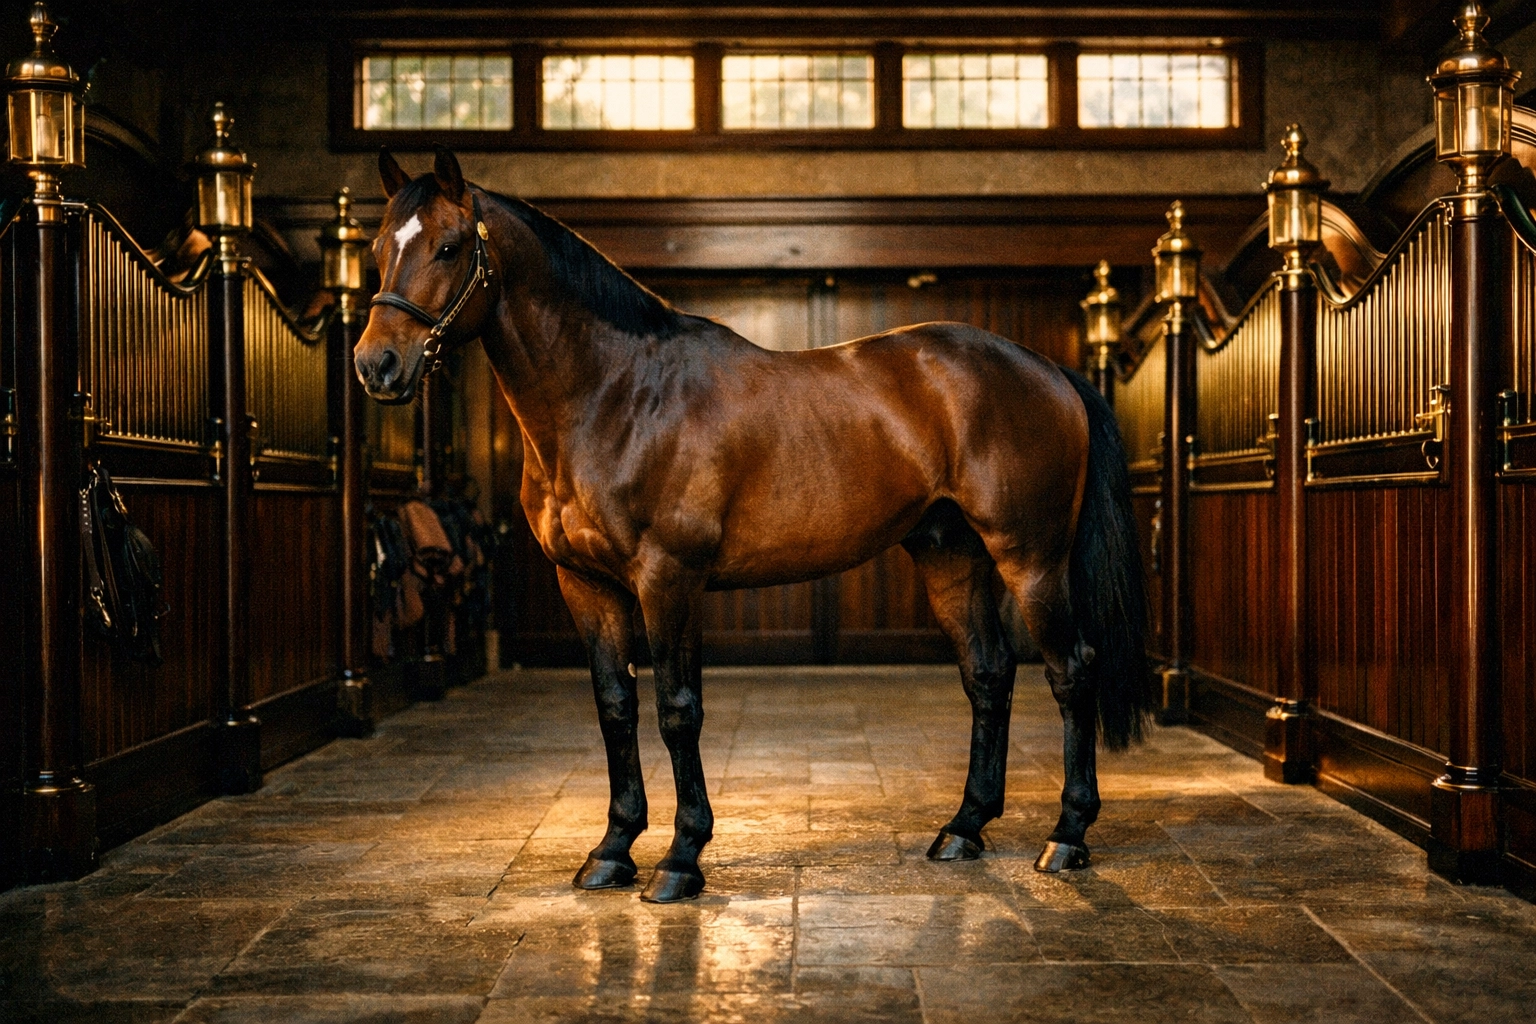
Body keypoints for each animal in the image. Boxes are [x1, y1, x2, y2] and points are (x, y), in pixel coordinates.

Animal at [355, 146, 1151, 903]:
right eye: (377, 249)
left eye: (450, 246)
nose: (376, 366)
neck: (616, 395)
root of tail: (1050, 371)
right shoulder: (585, 584)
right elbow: (616, 707)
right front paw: (612, 851)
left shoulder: (669, 579)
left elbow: (677, 709)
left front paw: (680, 860)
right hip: (951, 555)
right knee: (987, 675)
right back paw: (964, 828)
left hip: (1031, 558)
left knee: (1071, 670)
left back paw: (1067, 836)